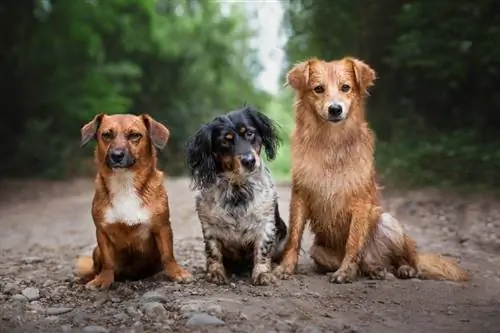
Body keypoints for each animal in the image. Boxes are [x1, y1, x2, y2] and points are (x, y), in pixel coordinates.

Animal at [73, 112, 191, 288]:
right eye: (106, 135)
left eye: (135, 135)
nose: (116, 155)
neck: (124, 183)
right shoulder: (102, 232)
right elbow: (108, 262)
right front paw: (103, 280)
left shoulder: (162, 227)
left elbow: (168, 255)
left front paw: (176, 273)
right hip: (96, 250)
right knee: (95, 267)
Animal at [186, 106, 288, 286]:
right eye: (225, 141)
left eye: (249, 133)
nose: (249, 160)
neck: (238, 189)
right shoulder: (209, 225)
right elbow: (213, 252)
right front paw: (215, 272)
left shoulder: (266, 222)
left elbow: (263, 250)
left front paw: (263, 273)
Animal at [274, 57, 468, 282]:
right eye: (318, 89)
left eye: (345, 87)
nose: (335, 109)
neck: (332, 143)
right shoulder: (300, 196)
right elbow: (294, 237)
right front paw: (286, 267)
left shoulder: (360, 202)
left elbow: (353, 242)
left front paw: (344, 271)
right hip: (319, 251)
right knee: (366, 264)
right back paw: (375, 270)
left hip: (388, 222)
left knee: (405, 259)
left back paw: (404, 269)